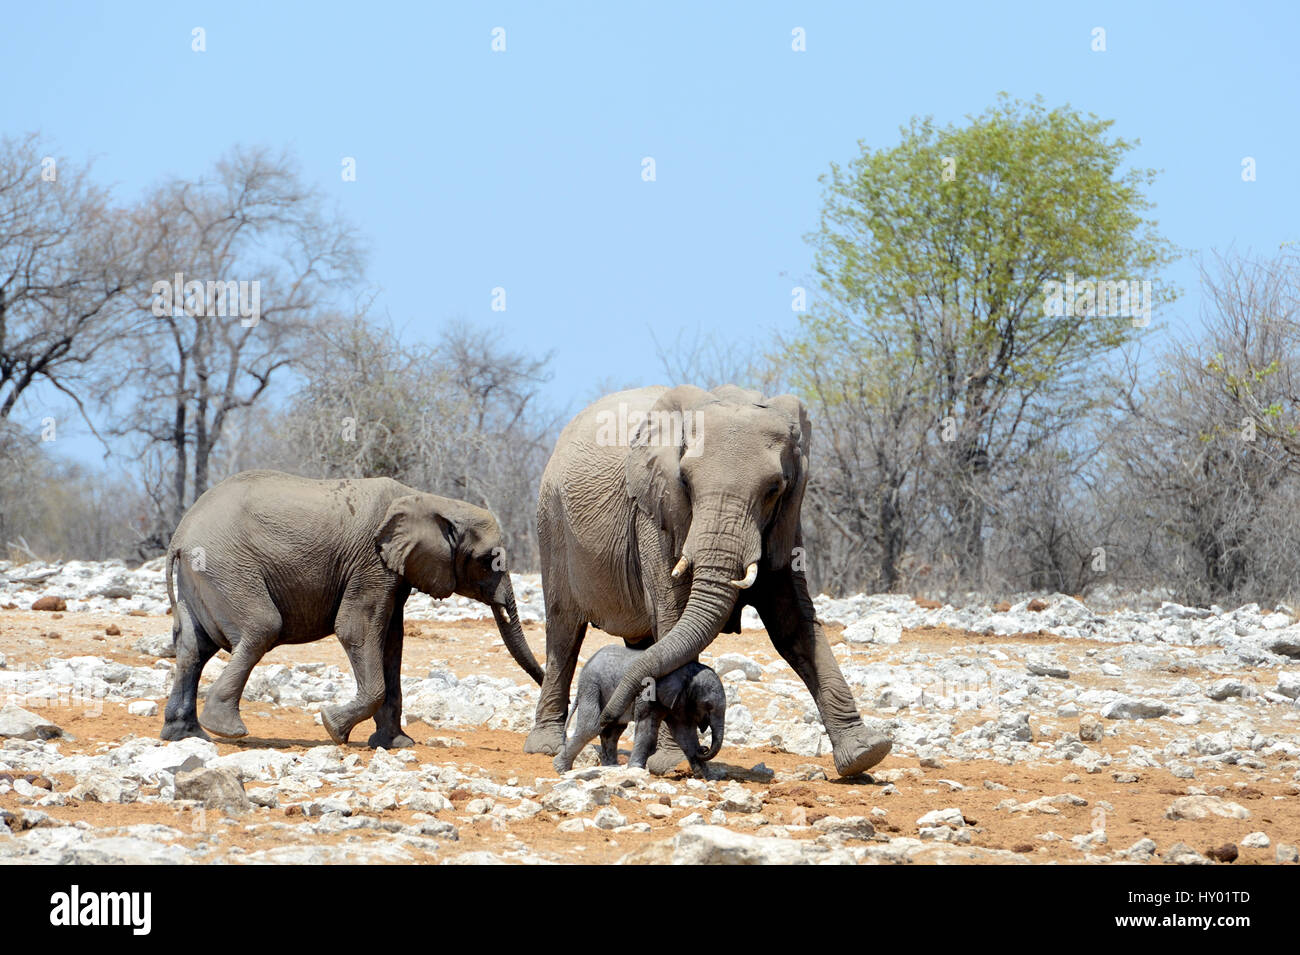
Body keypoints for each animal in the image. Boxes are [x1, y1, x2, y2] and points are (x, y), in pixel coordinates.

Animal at [159, 470, 540, 748]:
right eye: (489, 560)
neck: (427, 499)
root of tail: (181, 533)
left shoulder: (392, 571)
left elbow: (391, 642)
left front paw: (396, 744)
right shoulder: (371, 562)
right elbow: (356, 629)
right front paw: (333, 727)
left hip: (202, 575)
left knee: (194, 647)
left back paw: (186, 735)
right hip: (225, 566)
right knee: (261, 628)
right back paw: (227, 729)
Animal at [553, 641, 728, 779]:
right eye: (708, 705)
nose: (704, 749)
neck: (687, 670)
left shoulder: (679, 700)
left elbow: (685, 734)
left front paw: (708, 777)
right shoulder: (648, 692)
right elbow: (647, 729)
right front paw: (635, 770)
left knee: (612, 731)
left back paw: (610, 767)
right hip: (592, 685)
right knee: (591, 727)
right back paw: (561, 769)